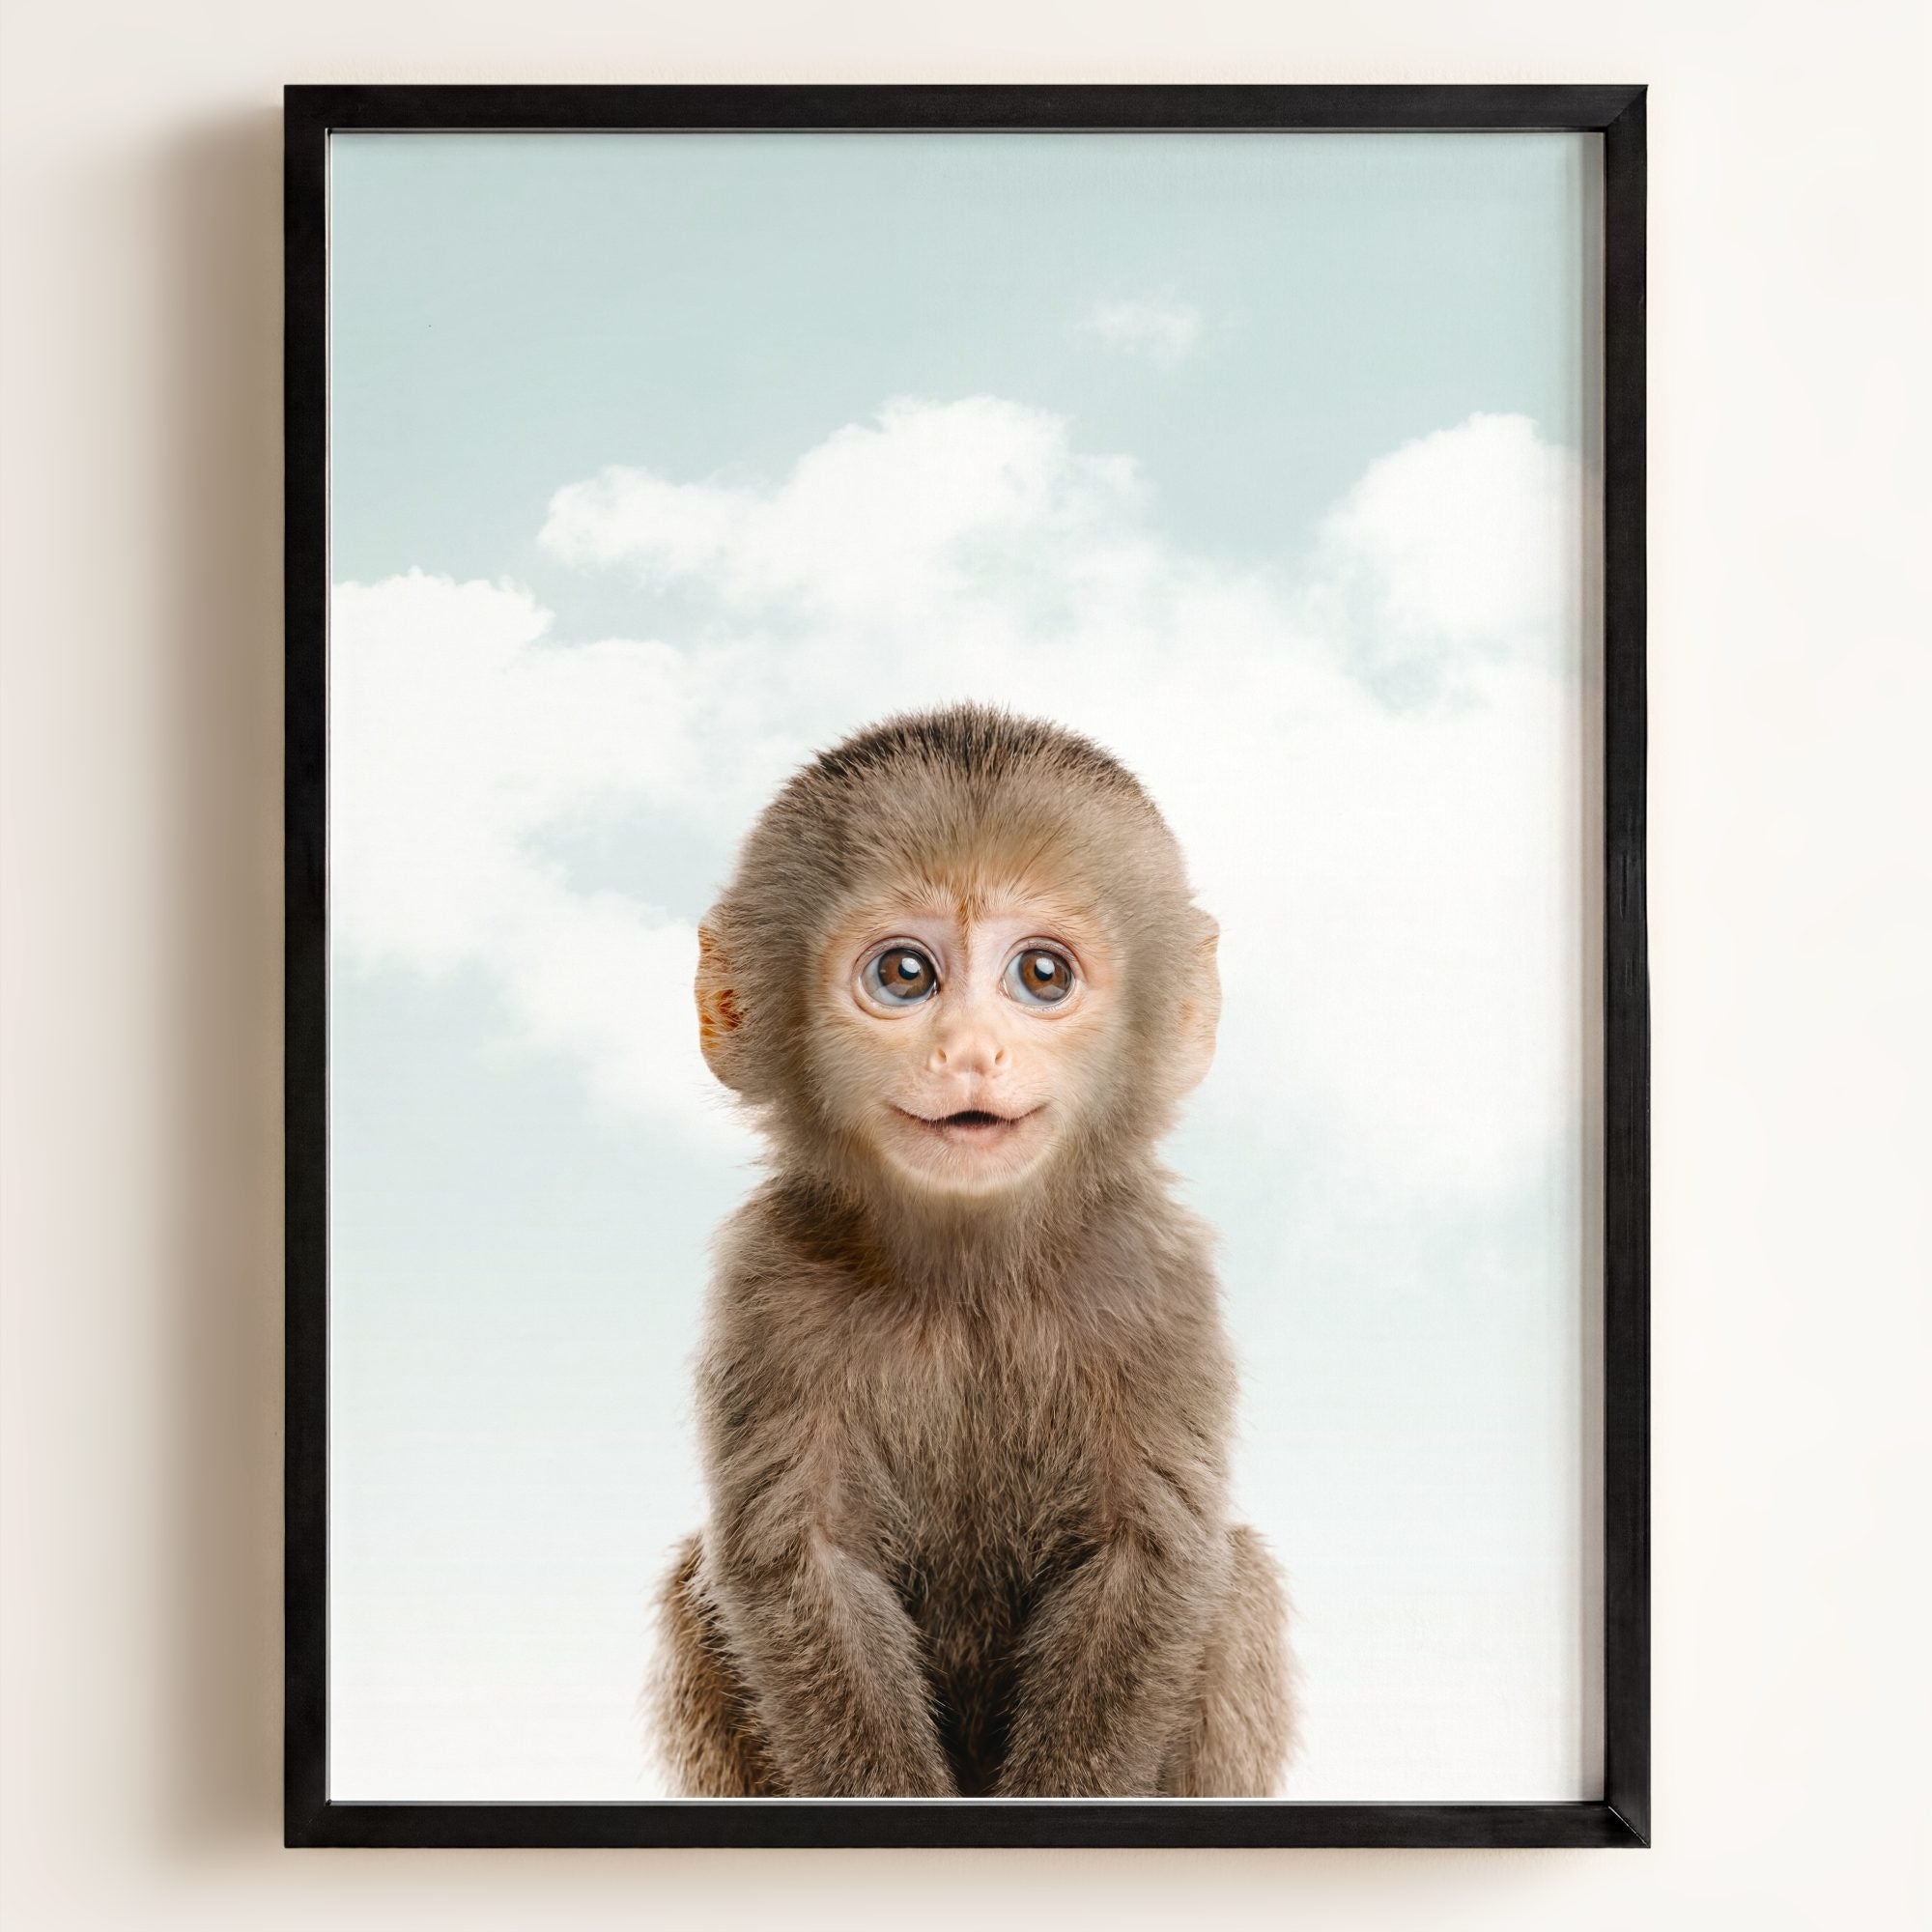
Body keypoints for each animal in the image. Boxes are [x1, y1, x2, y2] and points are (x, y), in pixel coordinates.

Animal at [649, 704, 1292, 1798]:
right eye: (904, 974)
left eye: (1041, 974)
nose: (969, 1053)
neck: (969, 1278)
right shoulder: (768, 1282)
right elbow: (798, 1563)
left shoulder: (1156, 1278)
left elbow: (1150, 1558)